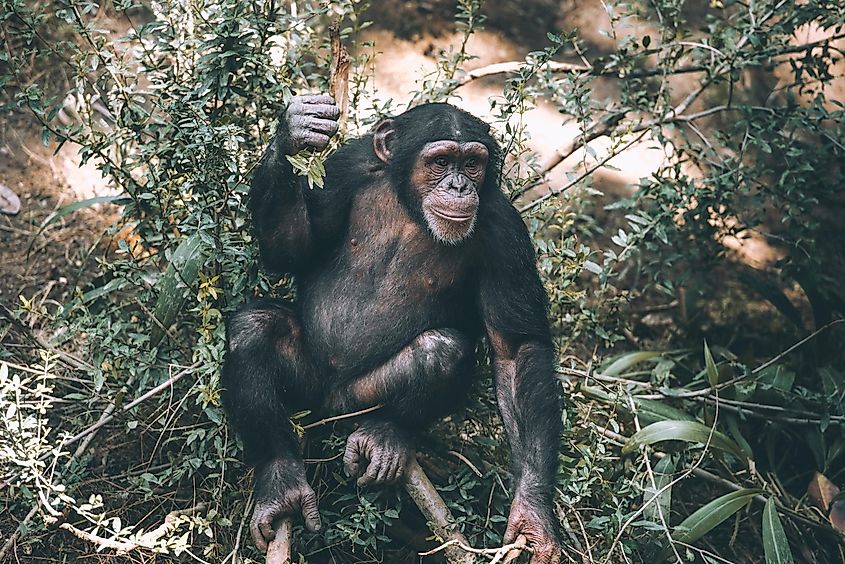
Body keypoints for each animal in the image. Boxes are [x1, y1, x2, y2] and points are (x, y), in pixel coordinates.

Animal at [221, 94, 560, 560]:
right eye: (441, 161)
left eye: (472, 163)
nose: (460, 186)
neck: (411, 208)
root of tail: (328, 408)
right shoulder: (346, 167)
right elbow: (291, 251)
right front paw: (296, 130)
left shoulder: (503, 233)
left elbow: (516, 348)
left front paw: (533, 512)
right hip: (307, 384)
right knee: (253, 329)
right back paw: (280, 482)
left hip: (359, 400)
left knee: (442, 349)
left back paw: (387, 436)